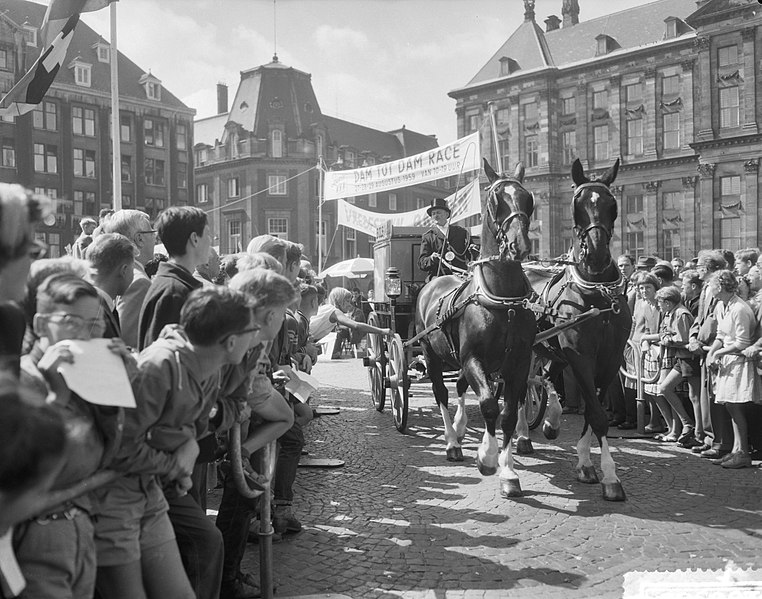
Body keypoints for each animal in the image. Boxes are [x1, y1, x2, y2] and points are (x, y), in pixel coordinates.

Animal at [416, 158, 536, 496]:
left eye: (527, 198)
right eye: (495, 200)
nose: (520, 245)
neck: (504, 300)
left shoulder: (518, 362)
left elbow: (508, 413)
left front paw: (509, 472)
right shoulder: (473, 358)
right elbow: (488, 405)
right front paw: (487, 457)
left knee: (458, 387)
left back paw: (458, 429)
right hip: (430, 354)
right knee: (441, 392)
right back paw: (452, 442)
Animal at [524, 158, 628, 502]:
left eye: (612, 204)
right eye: (576, 204)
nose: (595, 254)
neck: (597, 292)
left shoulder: (610, 358)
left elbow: (593, 410)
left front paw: (585, 463)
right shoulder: (580, 354)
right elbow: (595, 412)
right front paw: (609, 476)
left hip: (548, 349)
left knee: (543, 379)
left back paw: (550, 421)